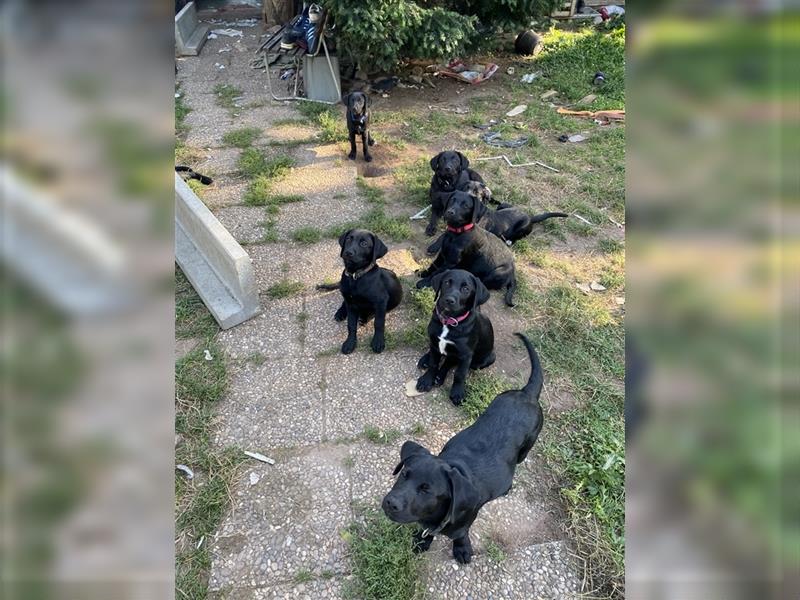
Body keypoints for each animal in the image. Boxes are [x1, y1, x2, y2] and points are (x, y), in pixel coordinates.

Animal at [382, 332, 544, 564]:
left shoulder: (464, 521)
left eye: (426, 490)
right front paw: (423, 540)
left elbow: (460, 534)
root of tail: (527, 393)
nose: (390, 503)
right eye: (404, 474)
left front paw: (461, 548)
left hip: (527, 446)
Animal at [412, 270, 494, 406]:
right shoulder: (435, 343)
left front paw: (457, 392)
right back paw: (426, 360)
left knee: (451, 361)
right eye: (446, 283)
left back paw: (440, 376)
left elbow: (459, 374)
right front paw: (427, 380)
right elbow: (433, 363)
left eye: (466, 289)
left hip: (483, 360)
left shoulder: (466, 355)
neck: (449, 322)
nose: (449, 300)